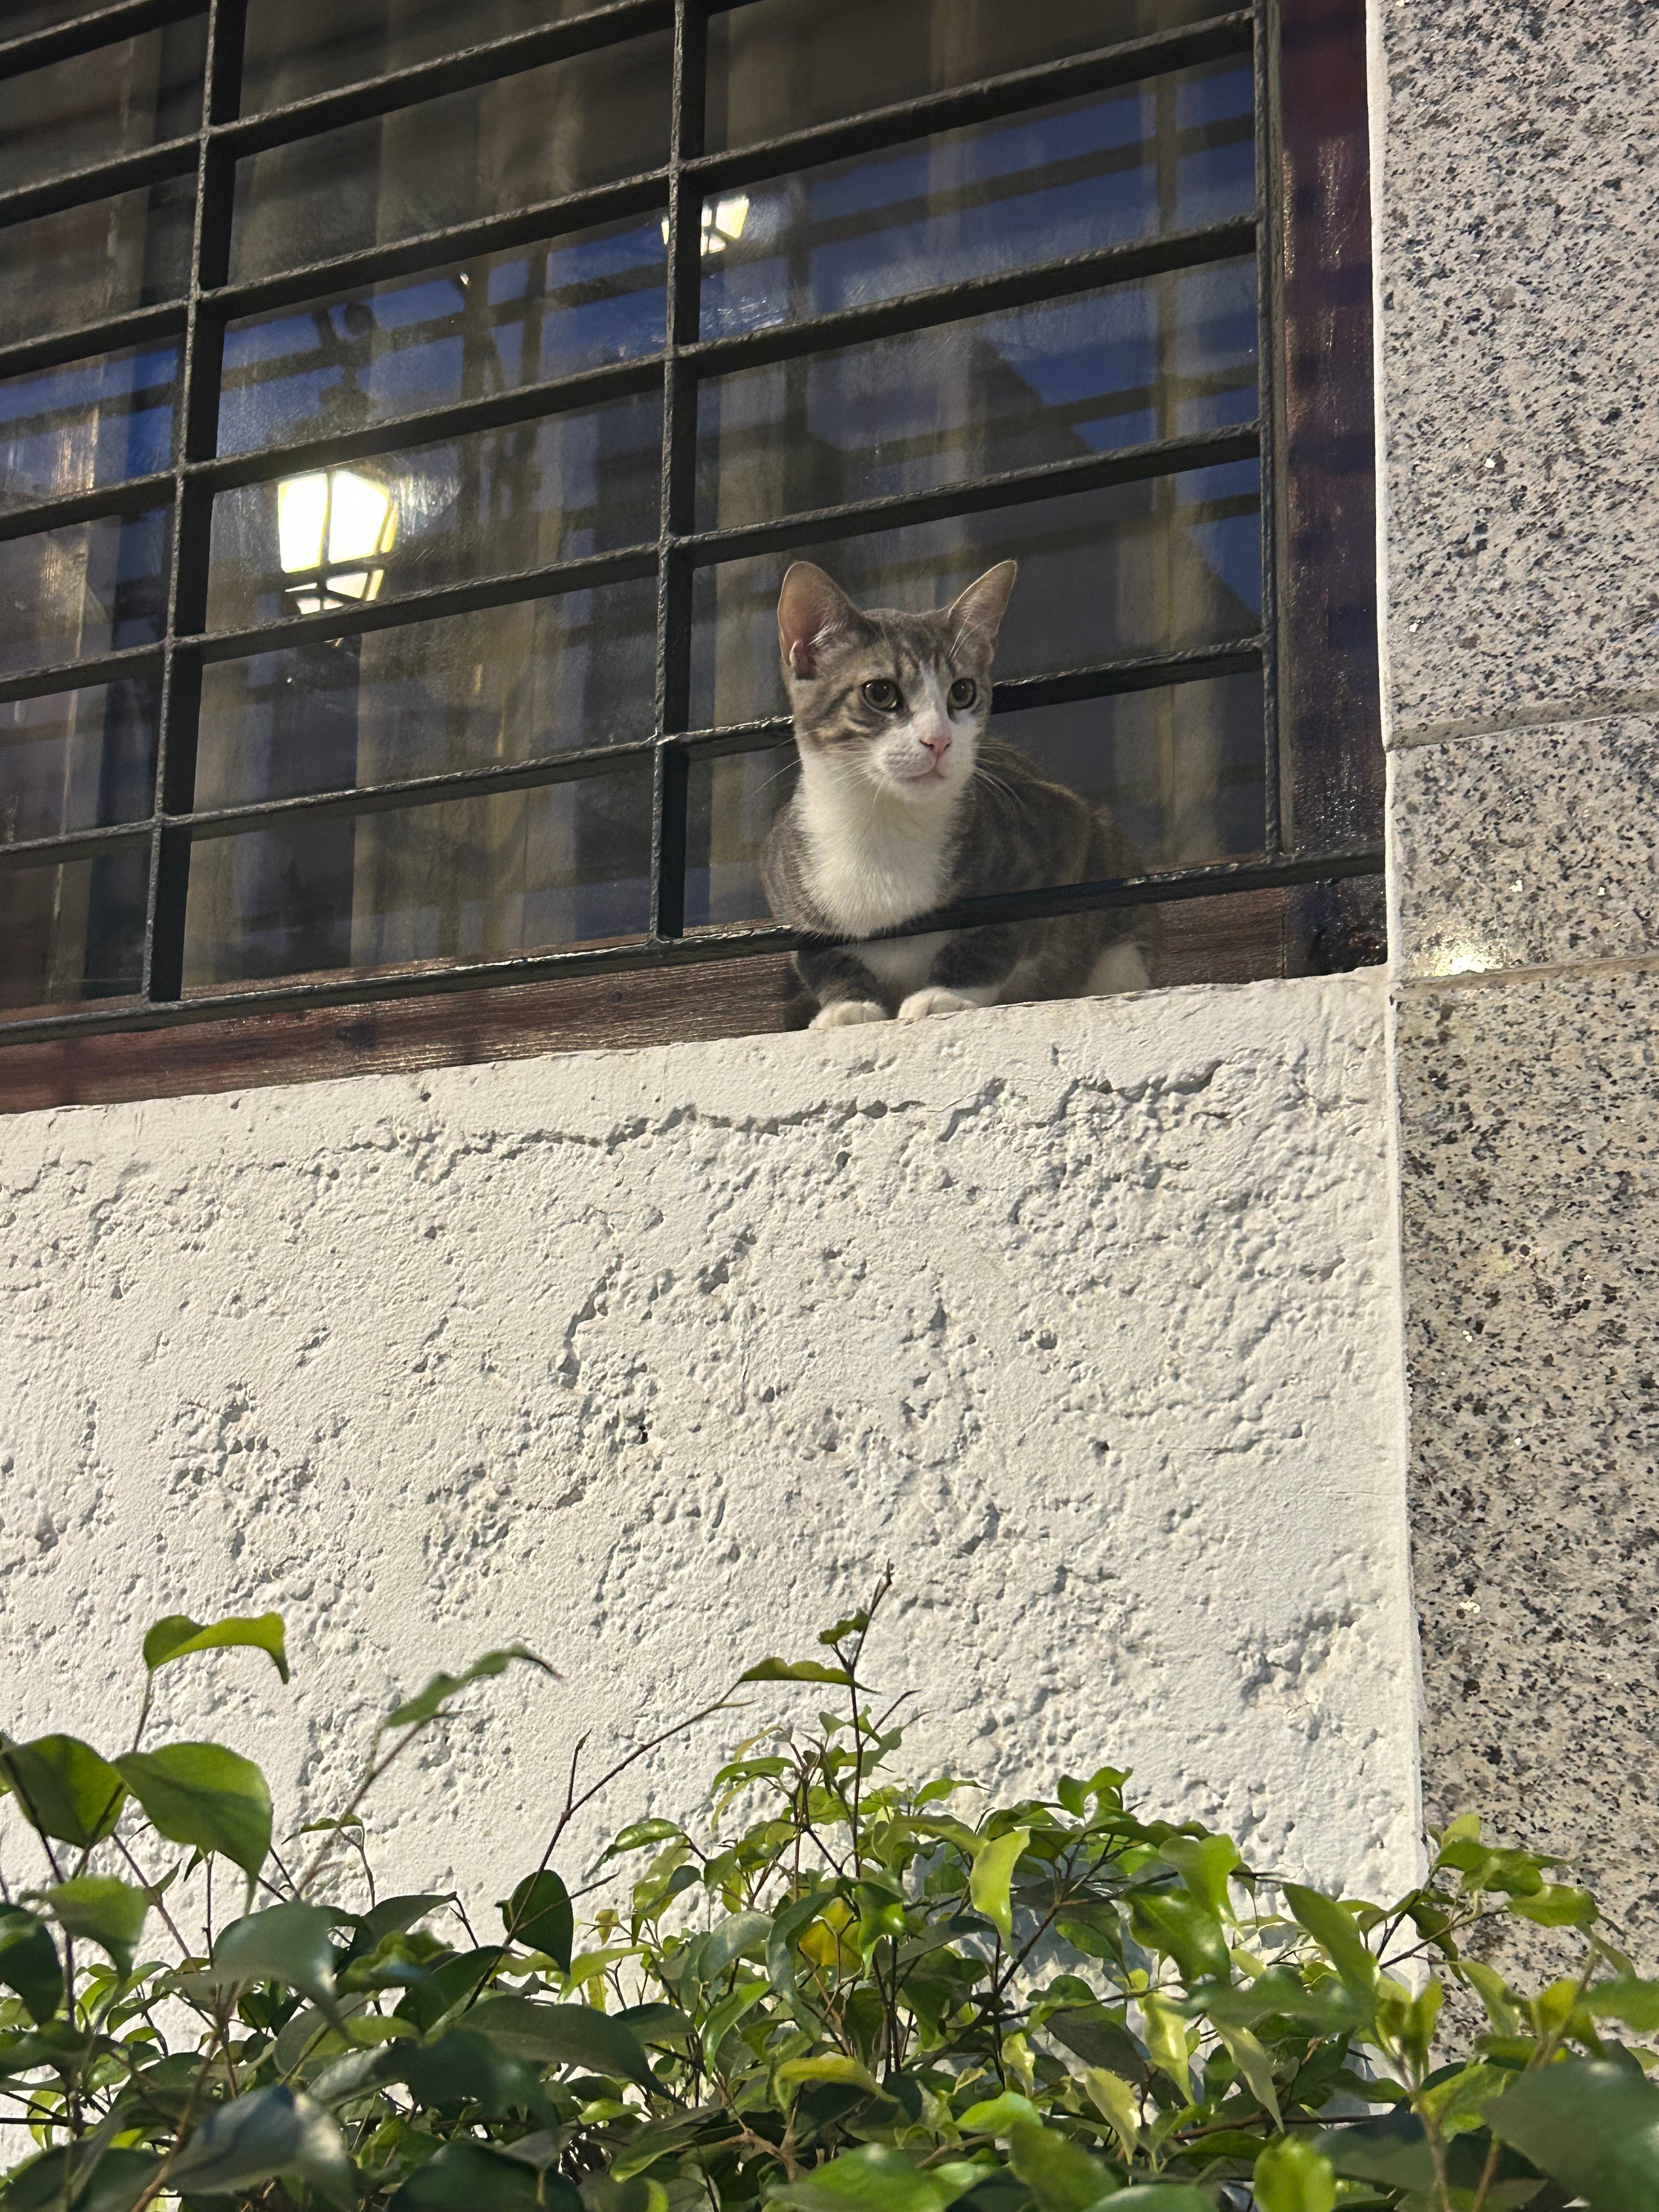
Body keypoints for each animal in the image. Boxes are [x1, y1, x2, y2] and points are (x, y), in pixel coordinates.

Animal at [761, 559, 1149, 1029]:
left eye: (962, 692)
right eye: (880, 692)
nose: (939, 740)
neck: (883, 823)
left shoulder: (1056, 836)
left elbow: (1000, 931)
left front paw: (946, 994)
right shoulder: (782, 875)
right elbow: (820, 956)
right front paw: (846, 1005)